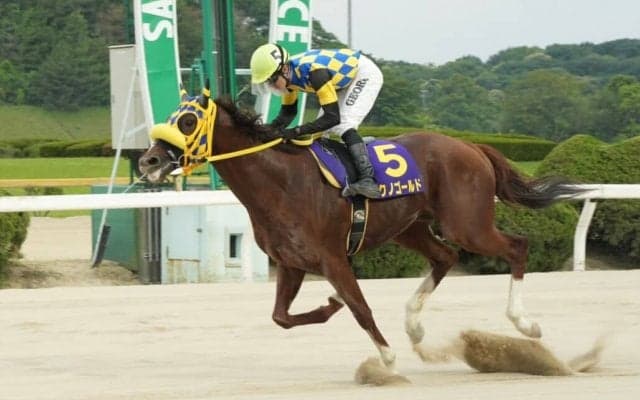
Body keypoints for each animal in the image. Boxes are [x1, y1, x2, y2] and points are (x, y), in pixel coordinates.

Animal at [138, 87, 583, 375]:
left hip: (467, 223)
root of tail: (472, 147)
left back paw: (525, 324)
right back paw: (415, 328)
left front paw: (386, 359)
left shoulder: (333, 258)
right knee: (445, 257)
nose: (148, 160)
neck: (280, 181)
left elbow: (360, 308)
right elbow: (282, 317)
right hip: (410, 227)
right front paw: (331, 305)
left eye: (188, 120)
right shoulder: (291, 262)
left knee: (516, 247)